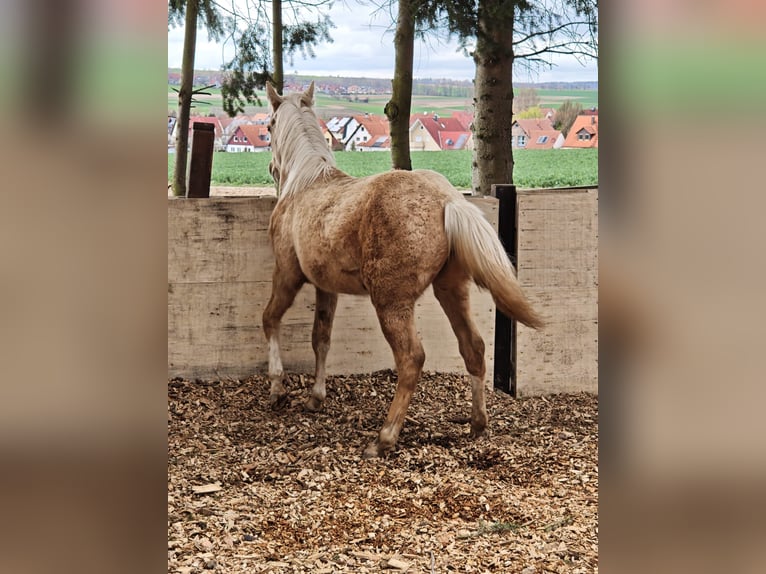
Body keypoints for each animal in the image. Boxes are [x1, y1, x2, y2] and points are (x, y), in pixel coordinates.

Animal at [262, 81, 544, 458]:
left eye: (269, 125)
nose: (271, 168)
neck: (306, 182)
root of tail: (447, 200)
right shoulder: (327, 286)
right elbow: (321, 338)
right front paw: (315, 398)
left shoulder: (287, 274)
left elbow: (271, 319)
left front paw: (277, 388)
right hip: (450, 290)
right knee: (473, 347)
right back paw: (477, 424)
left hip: (391, 302)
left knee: (411, 359)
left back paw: (384, 438)